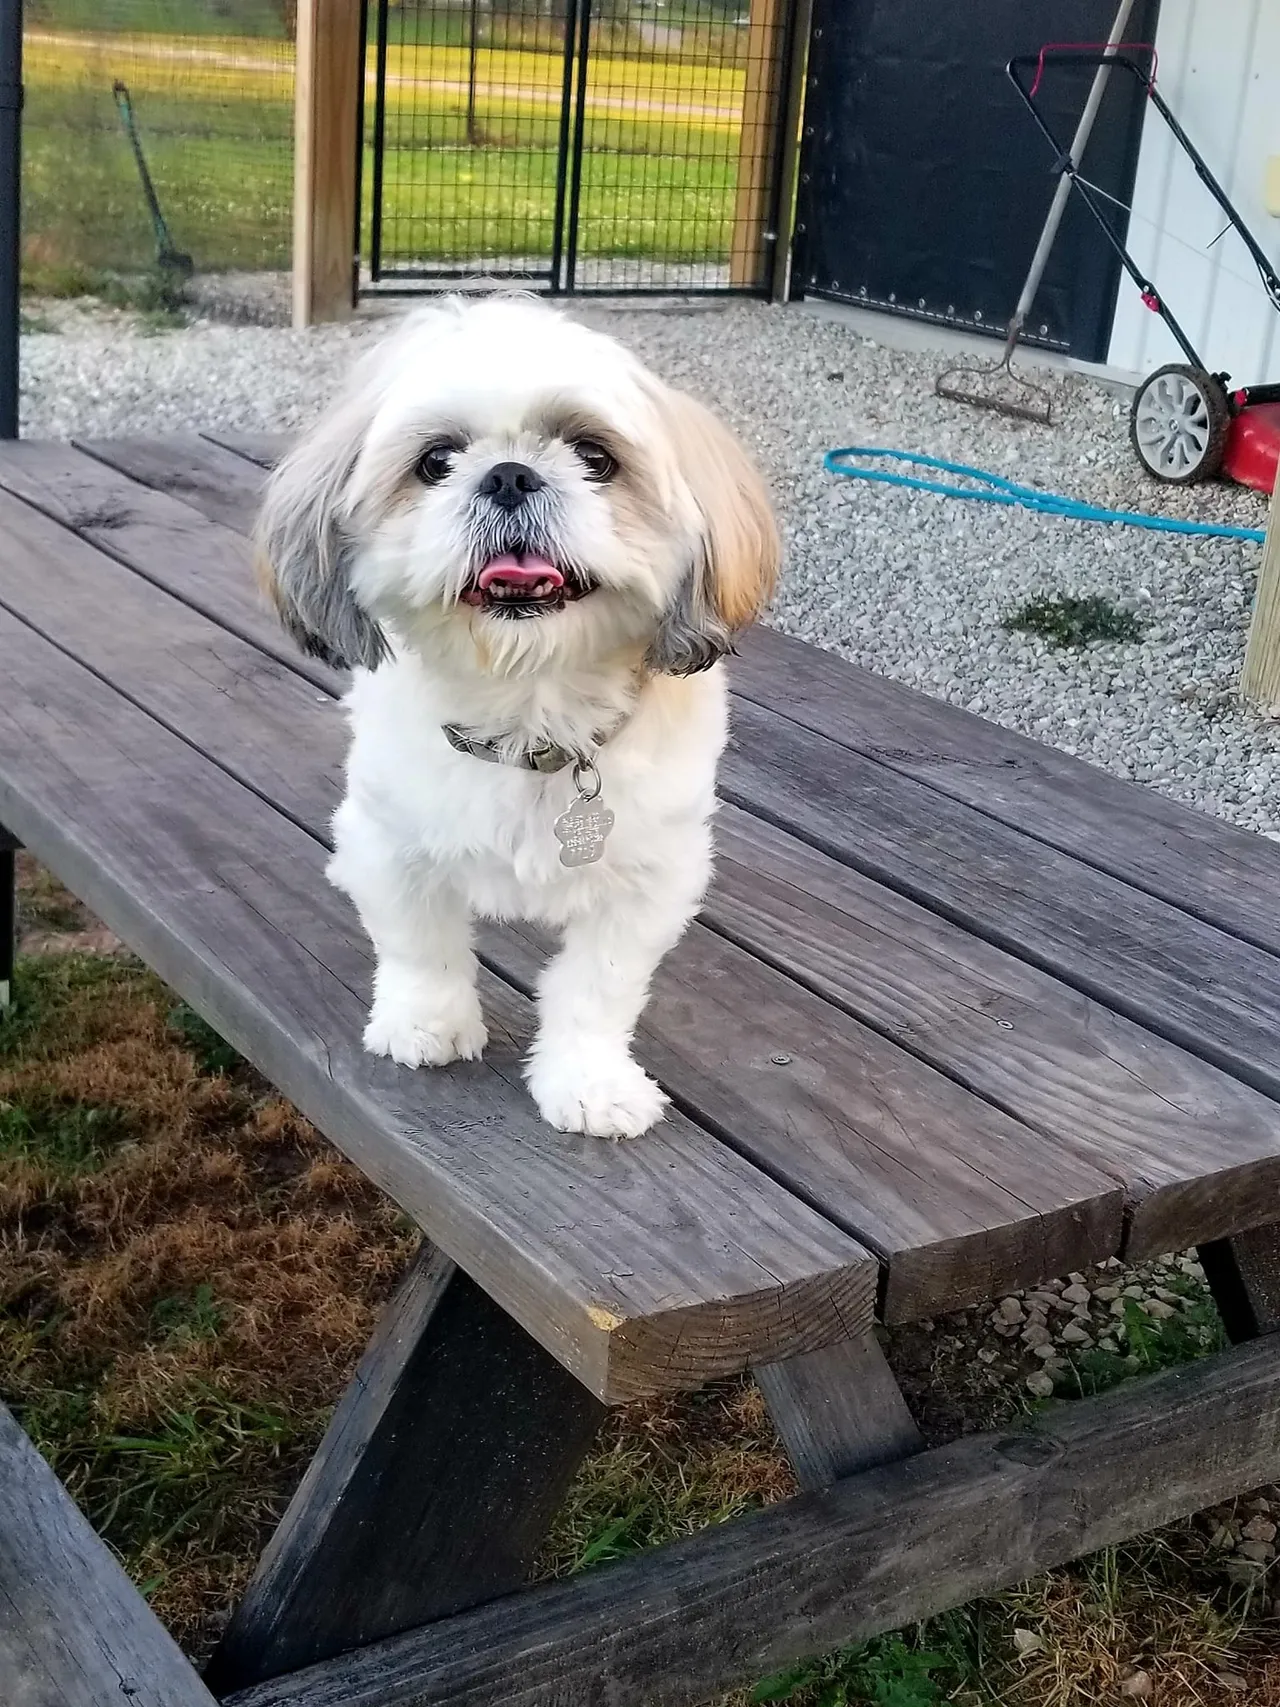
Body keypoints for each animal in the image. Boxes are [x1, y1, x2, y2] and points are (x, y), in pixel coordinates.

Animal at [259, 300, 778, 1140]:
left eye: (595, 456)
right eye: (436, 461)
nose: (508, 474)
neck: (529, 713)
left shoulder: (648, 877)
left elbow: (597, 988)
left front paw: (590, 1081)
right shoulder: (392, 838)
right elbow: (420, 943)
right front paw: (426, 1023)